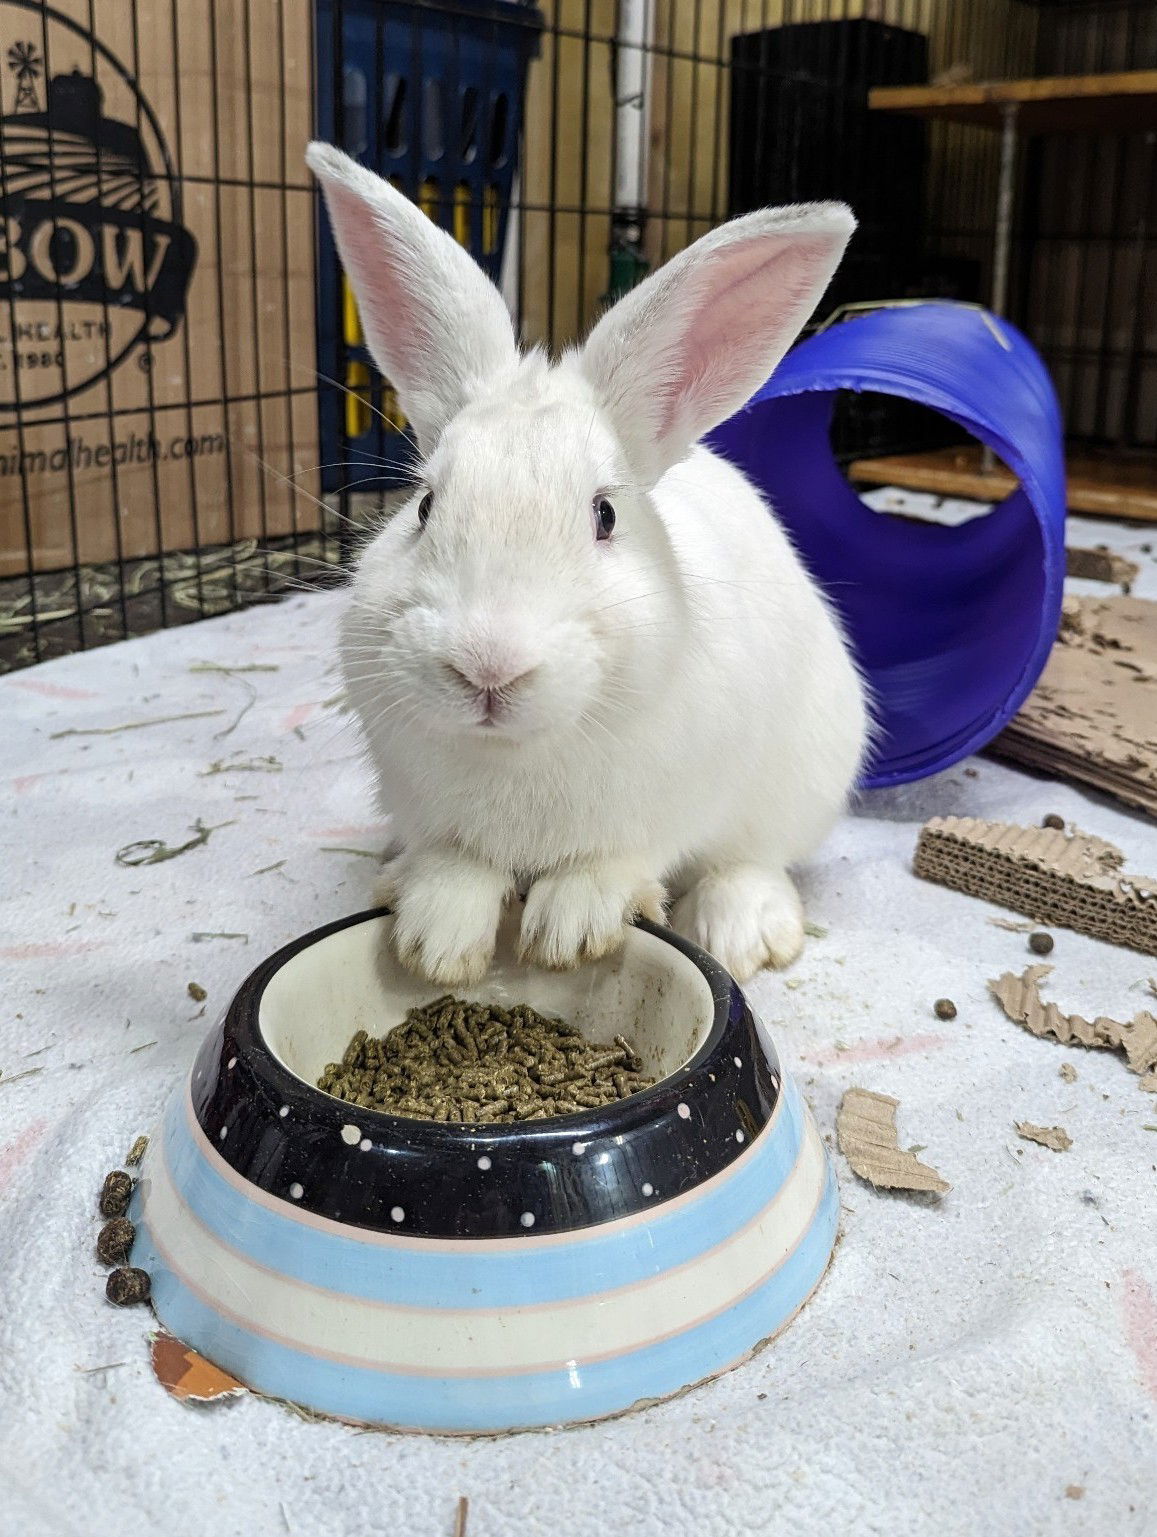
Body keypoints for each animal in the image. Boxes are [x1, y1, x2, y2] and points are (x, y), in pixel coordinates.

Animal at [307, 144, 866, 983]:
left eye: (604, 515)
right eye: (426, 505)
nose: (487, 666)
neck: (517, 751)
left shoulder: (664, 811)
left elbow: (614, 863)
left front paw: (569, 931)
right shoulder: (431, 815)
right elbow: (454, 866)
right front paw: (437, 942)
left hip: (806, 773)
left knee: (752, 857)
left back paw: (741, 934)